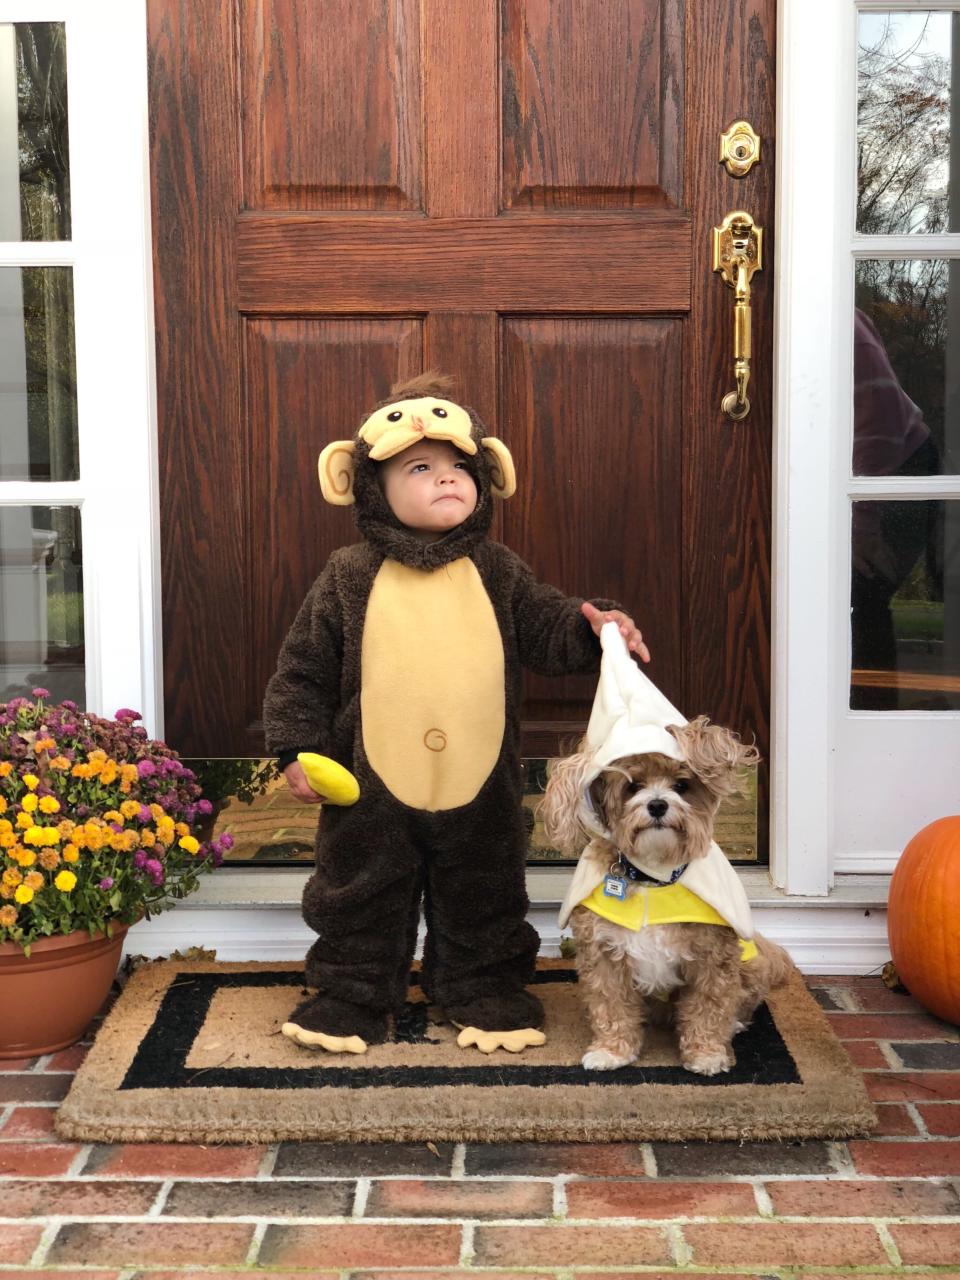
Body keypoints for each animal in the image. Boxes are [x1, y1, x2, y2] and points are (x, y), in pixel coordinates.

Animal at [542, 721, 798, 1080]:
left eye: (682, 785)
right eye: (632, 786)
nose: (658, 805)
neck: (655, 877)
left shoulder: (713, 957)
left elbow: (709, 1006)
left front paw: (706, 1054)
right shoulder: (603, 955)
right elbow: (611, 1006)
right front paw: (611, 1051)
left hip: (753, 963)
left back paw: (734, 1023)